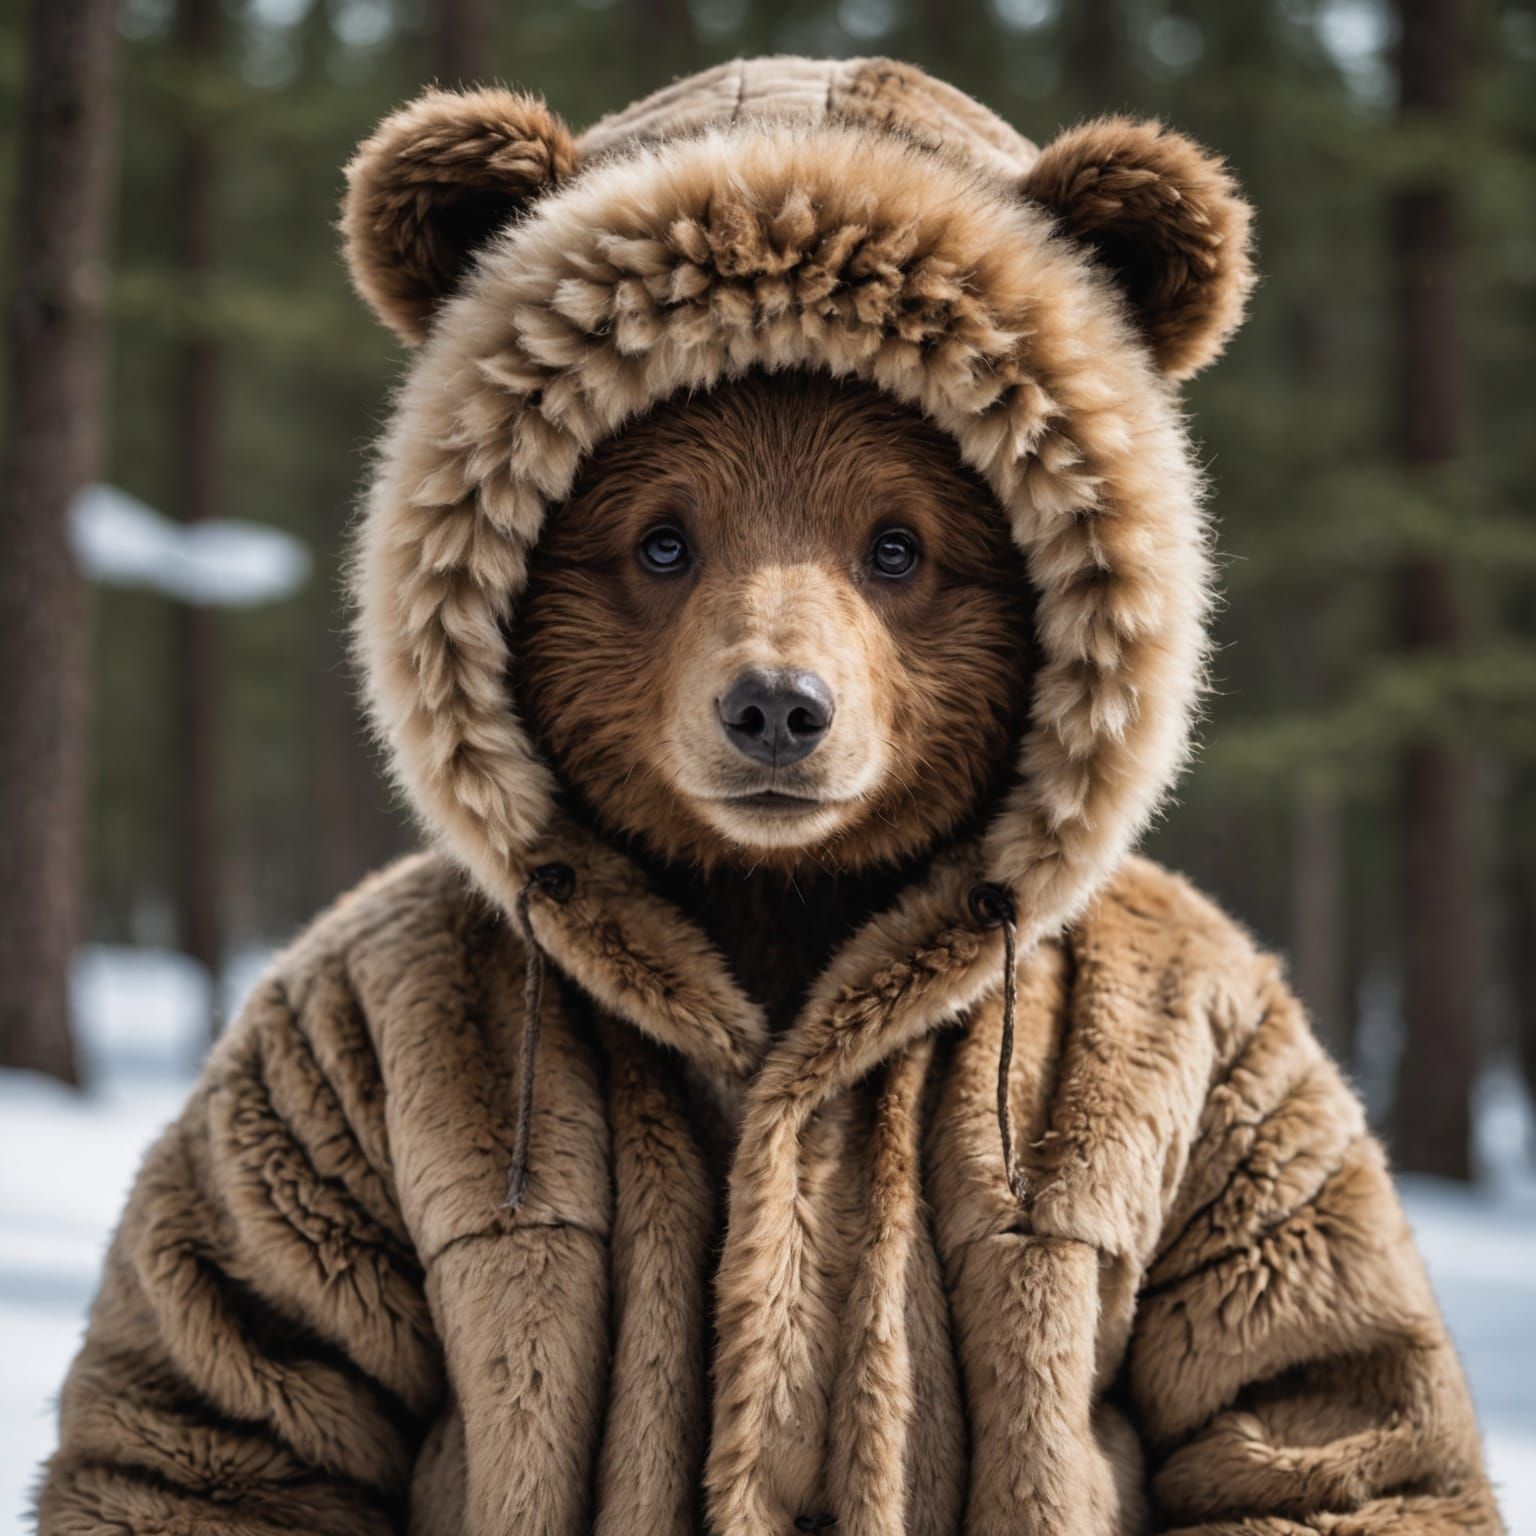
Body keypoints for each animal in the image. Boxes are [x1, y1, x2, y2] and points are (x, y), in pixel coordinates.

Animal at [36, 55, 1500, 1536]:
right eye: (661, 540)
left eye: (898, 544)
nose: (779, 708)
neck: (783, 914)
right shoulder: (331, 1042)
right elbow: (245, 1407)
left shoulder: (1234, 1072)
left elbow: (1302, 1406)